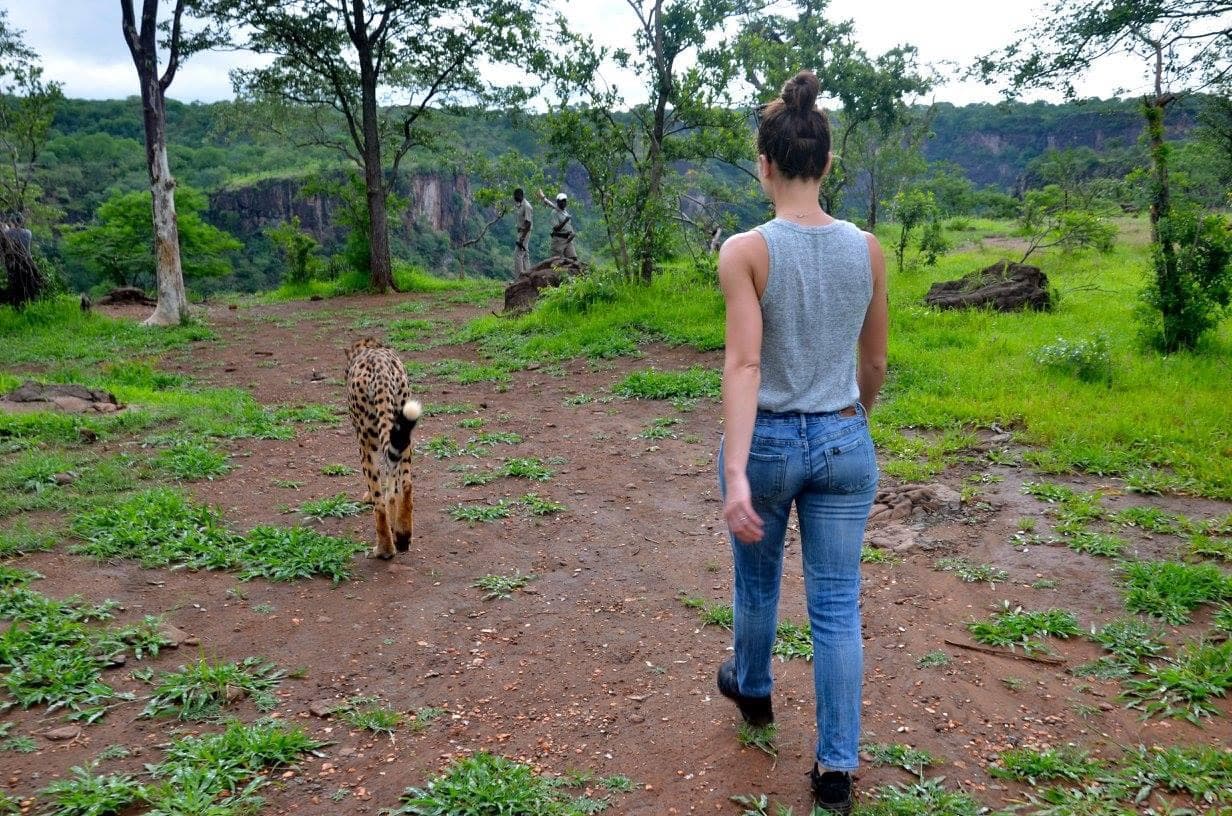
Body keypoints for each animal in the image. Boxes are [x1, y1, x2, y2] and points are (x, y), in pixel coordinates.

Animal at [345, 337, 421, 559]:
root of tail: (381, 370)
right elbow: (392, 489)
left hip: (365, 442)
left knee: (379, 504)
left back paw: (384, 549)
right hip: (404, 431)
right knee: (406, 483)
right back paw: (403, 536)